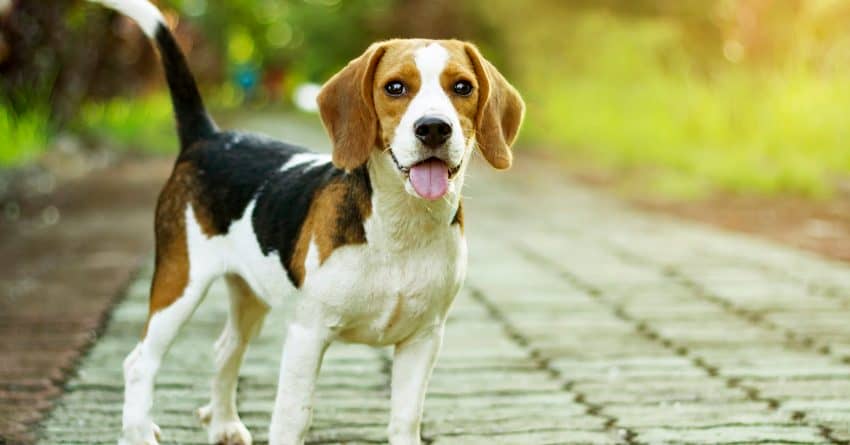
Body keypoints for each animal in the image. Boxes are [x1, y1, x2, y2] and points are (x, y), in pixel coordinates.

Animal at [94, 0, 524, 444]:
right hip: (180, 283)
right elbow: (293, 417)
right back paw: (139, 430)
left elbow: (406, 418)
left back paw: (225, 423)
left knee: (226, 349)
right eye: (395, 88)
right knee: (139, 362)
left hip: (248, 293)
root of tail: (208, 137)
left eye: (463, 87)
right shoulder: (308, 334)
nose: (434, 128)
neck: (400, 226)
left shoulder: (423, 338)